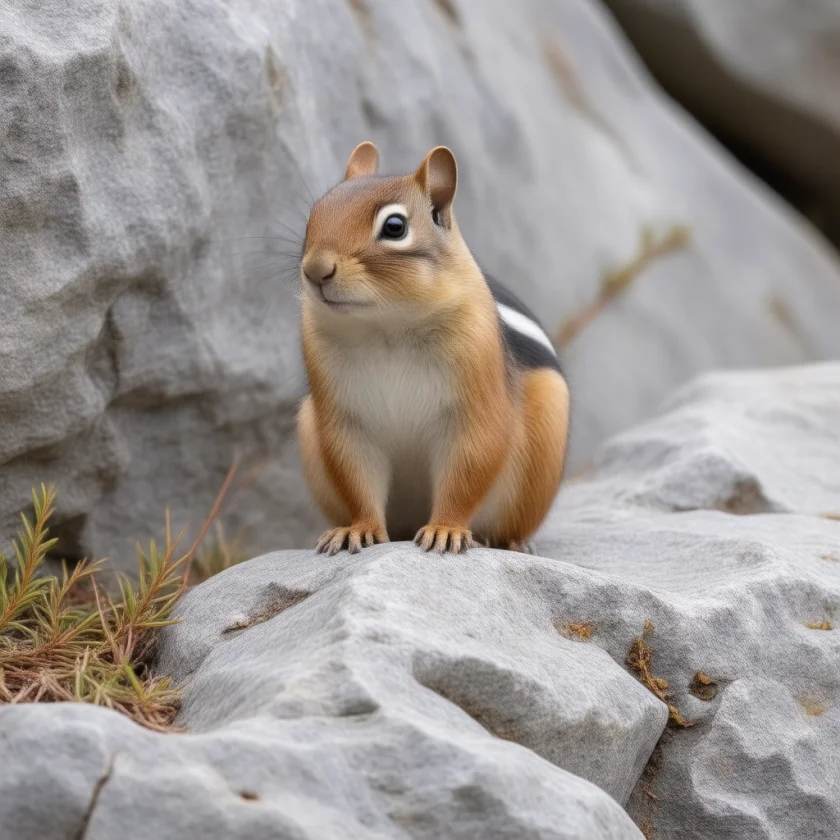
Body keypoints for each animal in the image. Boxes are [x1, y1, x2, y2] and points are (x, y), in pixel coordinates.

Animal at [296, 142, 570, 555]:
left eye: (394, 227)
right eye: (314, 215)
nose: (315, 269)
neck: (386, 325)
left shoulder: (475, 406)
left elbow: (471, 462)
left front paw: (446, 529)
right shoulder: (344, 420)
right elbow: (354, 474)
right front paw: (358, 529)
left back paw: (512, 541)